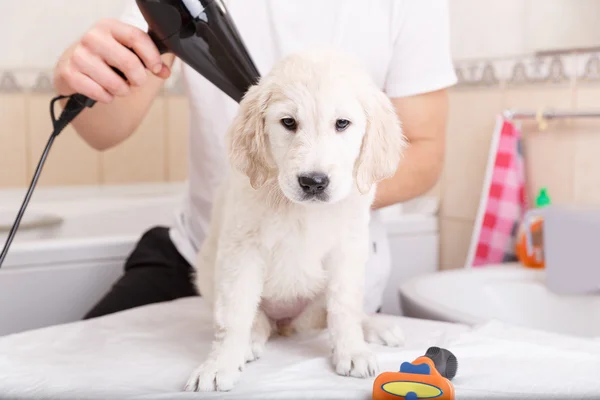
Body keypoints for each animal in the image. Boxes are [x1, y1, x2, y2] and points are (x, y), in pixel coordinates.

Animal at [183, 48, 408, 392]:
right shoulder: (242, 249)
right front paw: (219, 365)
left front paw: (352, 351)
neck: (301, 209)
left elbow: (344, 307)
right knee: (255, 318)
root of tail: (287, 325)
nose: (313, 182)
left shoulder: (347, 250)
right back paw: (250, 340)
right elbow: (234, 313)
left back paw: (376, 327)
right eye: (288, 122)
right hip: (209, 277)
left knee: (342, 312)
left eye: (342, 123)